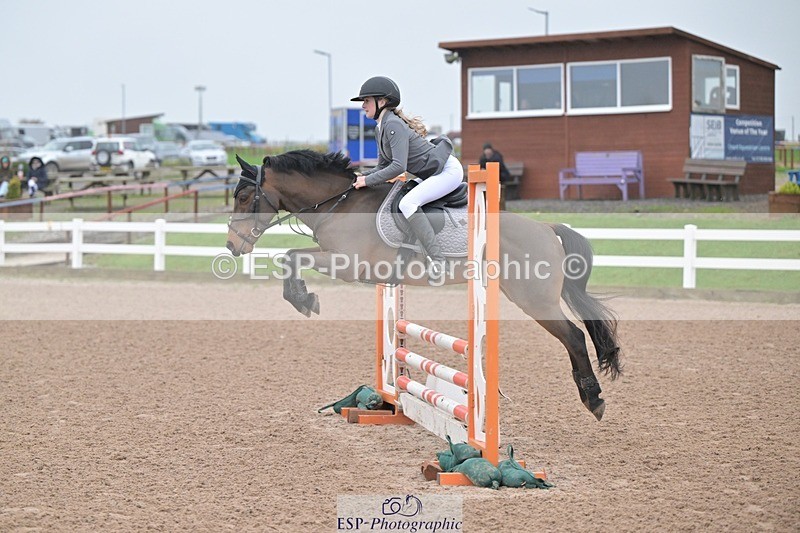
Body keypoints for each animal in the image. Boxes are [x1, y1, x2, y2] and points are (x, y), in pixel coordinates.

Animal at [225, 150, 621, 421]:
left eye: (243, 197)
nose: (232, 246)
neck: (339, 205)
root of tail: (546, 228)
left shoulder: (348, 263)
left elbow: (290, 257)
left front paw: (303, 299)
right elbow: (290, 255)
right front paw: (303, 298)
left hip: (535, 300)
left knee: (573, 336)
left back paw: (594, 399)